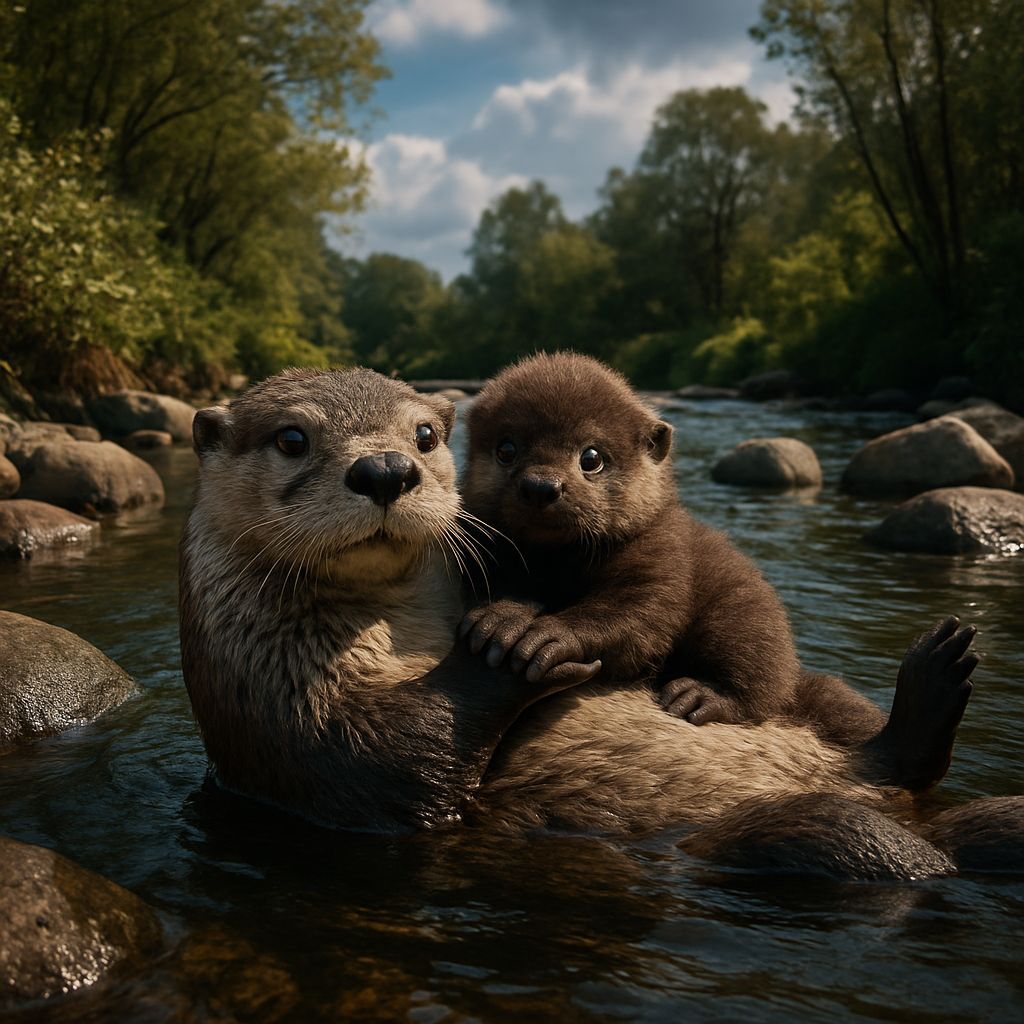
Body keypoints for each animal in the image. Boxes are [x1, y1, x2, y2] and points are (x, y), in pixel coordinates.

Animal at [179, 366, 1019, 878]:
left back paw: (935, 676)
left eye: (422, 435)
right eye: (292, 438)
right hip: (812, 833)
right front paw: (516, 645)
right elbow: (393, 755)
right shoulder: (283, 710)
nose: (385, 470)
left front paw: (533, 633)